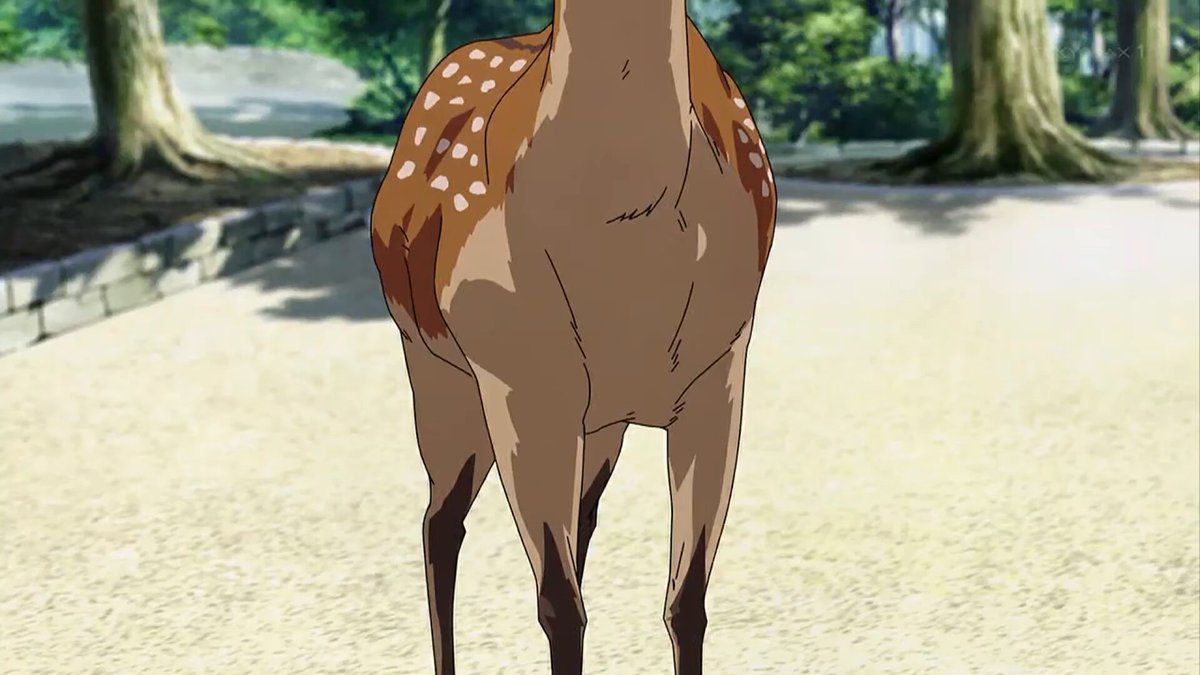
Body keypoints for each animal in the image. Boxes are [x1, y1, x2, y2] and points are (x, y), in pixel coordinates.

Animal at [369, 1, 776, 673]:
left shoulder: (721, 371)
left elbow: (686, 603)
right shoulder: (520, 380)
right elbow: (559, 605)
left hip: (598, 420)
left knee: (572, 522)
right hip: (434, 367)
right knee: (440, 522)